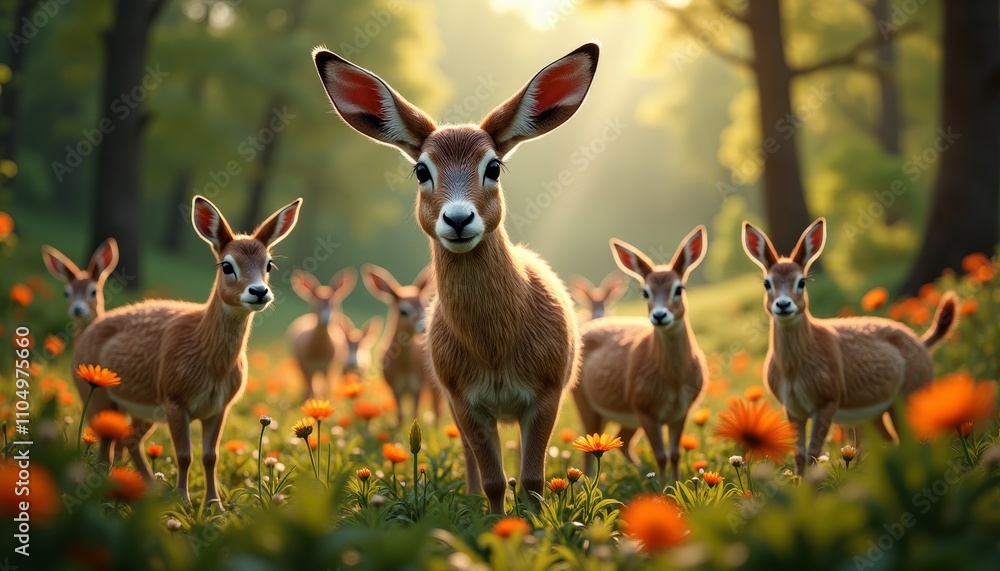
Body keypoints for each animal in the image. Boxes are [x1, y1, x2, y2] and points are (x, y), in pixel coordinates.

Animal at [73, 195, 301, 506]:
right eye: (227, 265)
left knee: (129, 439)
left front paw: (215, 505)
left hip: (141, 410)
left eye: (269, 264)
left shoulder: (219, 408)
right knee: (106, 446)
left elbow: (210, 456)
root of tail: (82, 338)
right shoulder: (175, 398)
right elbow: (183, 455)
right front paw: (183, 501)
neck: (210, 364)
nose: (259, 292)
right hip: (95, 394)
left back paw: (146, 488)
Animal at [286, 268, 356, 400]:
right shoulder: (306, 365)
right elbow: (311, 387)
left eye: (335, 305)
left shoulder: (330, 365)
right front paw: (311, 400)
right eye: (315, 304)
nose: (326, 319)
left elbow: (326, 387)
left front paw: (325, 399)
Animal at [362, 263, 443, 425]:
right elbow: (400, 415)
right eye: (403, 311)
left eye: (424, 306)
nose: (423, 327)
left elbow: (414, 413)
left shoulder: (418, 385)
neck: (404, 367)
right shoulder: (394, 386)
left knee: (438, 407)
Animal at [573, 227, 709, 483]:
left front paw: (677, 485)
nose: (659, 315)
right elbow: (662, 456)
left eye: (679, 289)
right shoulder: (645, 407)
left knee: (624, 444)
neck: (673, 380)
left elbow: (675, 454)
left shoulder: (681, 411)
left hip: (629, 417)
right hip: (584, 401)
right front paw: (664, 489)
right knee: (587, 446)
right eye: (645, 292)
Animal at [741, 218, 958, 475]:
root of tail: (923, 344)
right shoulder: (793, 408)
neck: (793, 370)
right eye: (767, 283)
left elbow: (813, 452)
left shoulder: (827, 400)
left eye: (801, 281)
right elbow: (800, 455)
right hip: (876, 412)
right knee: (893, 440)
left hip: (912, 393)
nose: (783, 305)